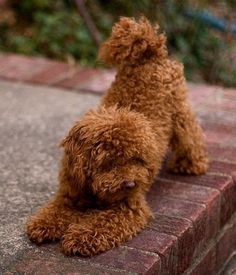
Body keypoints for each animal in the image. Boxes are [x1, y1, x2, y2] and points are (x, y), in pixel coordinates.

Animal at [26, 17, 208, 258]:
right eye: (109, 162)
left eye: (137, 159)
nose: (130, 183)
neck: (93, 188)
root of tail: (150, 52)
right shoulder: (71, 193)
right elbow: (56, 210)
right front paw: (43, 224)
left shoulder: (127, 207)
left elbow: (102, 223)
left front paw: (80, 237)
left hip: (180, 111)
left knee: (191, 137)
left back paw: (191, 164)